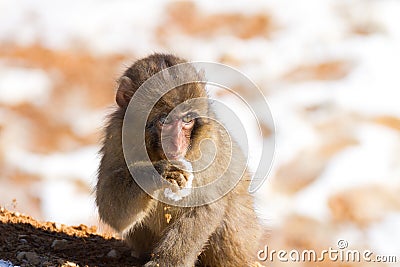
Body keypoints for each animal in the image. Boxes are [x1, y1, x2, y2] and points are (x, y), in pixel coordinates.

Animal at [95, 53, 260, 266]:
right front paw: (159, 172)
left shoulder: (209, 146)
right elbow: (110, 207)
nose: (177, 144)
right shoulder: (117, 134)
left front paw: (167, 262)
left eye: (187, 120)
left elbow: (204, 205)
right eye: (164, 120)